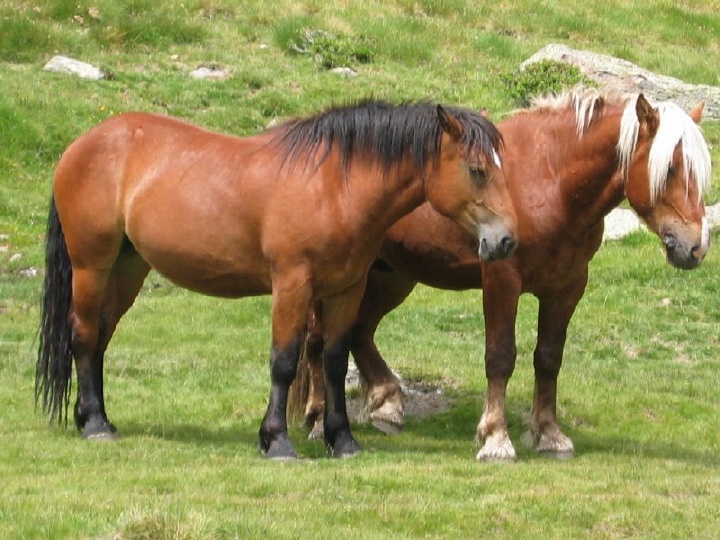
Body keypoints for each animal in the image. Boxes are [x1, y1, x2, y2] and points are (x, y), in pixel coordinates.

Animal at [35, 99, 519, 459]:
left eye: (501, 167)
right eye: (477, 169)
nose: (505, 240)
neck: (333, 186)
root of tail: (82, 145)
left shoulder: (346, 290)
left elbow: (334, 360)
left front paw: (342, 440)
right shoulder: (292, 284)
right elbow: (284, 361)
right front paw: (277, 440)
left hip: (128, 268)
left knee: (101, 338)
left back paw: (98, 418)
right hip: (92, 266)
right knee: (83, 335)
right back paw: (94, 424)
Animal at [290, 88, 712, 460]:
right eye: (670, 168)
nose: (695, 246)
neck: (550, 177)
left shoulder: (567, 287)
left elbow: (549, 358)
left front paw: (549, 435)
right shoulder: (501, 279)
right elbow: (501, 356)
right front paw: (496, 438)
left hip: (390, 277)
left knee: (360, 332)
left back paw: (386, 404)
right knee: (318, 341)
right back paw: (318, 420)